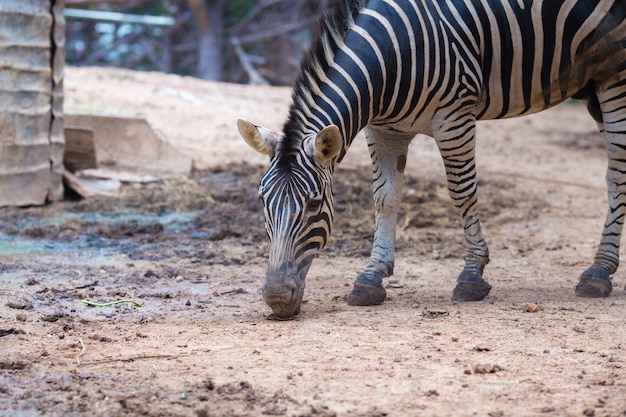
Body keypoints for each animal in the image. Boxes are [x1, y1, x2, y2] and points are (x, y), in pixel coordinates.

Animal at [235, 0, 624, 316]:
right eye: (262, 201)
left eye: (315, 205)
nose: (276, 299)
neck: (391, 57)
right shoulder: (382, 131)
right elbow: (385, 199)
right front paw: (371, 276)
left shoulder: (454, 118)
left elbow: (462, 194)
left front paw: (472, 274)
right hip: (593, 84)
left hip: (615, 77)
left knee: (616, 175)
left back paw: (598, 272)